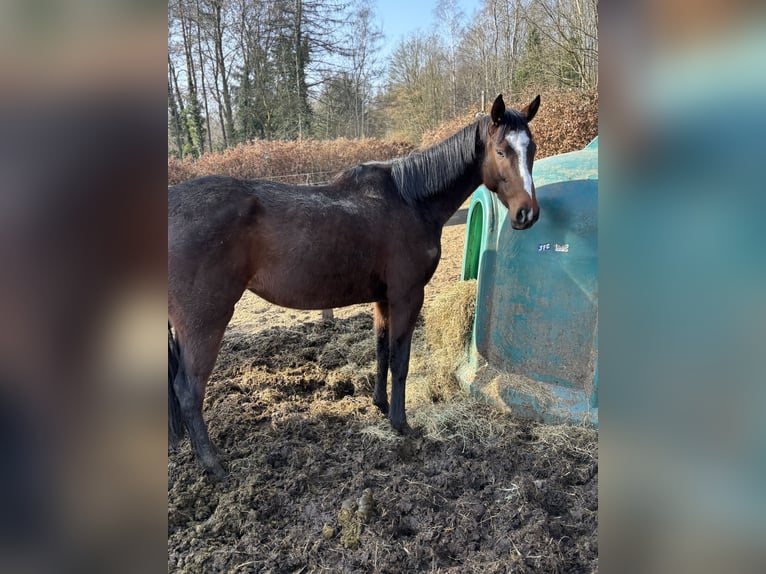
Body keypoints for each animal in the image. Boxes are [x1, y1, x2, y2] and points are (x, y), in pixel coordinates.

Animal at [169, 94, 541, 478]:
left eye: (532, 149)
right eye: (501, 150)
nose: (527, 213)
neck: (410, 201)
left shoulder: (383, 300)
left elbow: (381, 351)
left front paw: (381, 404)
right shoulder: (408, 296)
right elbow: (400, 359)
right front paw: (401, 424)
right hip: (205, 322)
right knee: (188, 390)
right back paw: (213, 464)